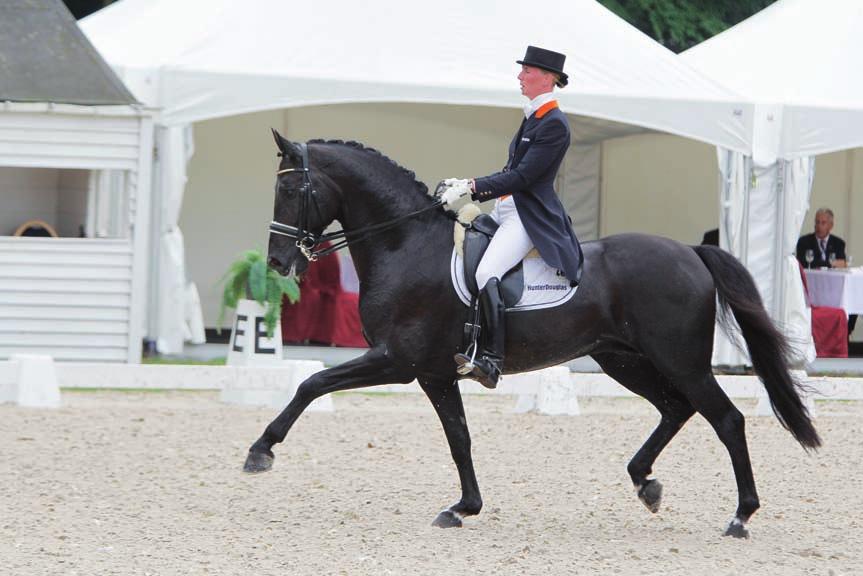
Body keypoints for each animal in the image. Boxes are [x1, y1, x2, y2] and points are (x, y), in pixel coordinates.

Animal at [245, 133, 824, 536]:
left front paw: (261, 451)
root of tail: (691, 251)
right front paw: (463, 508)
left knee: (725, 419)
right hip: (624, 359)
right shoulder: (434, 373)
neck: (404, 243)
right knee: (675, 408)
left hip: (681, 360)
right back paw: (645, 482)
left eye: (290, 188)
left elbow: (311, 384)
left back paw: (740, 516)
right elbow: (459, 438)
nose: (276, 262)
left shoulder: (397, 360)